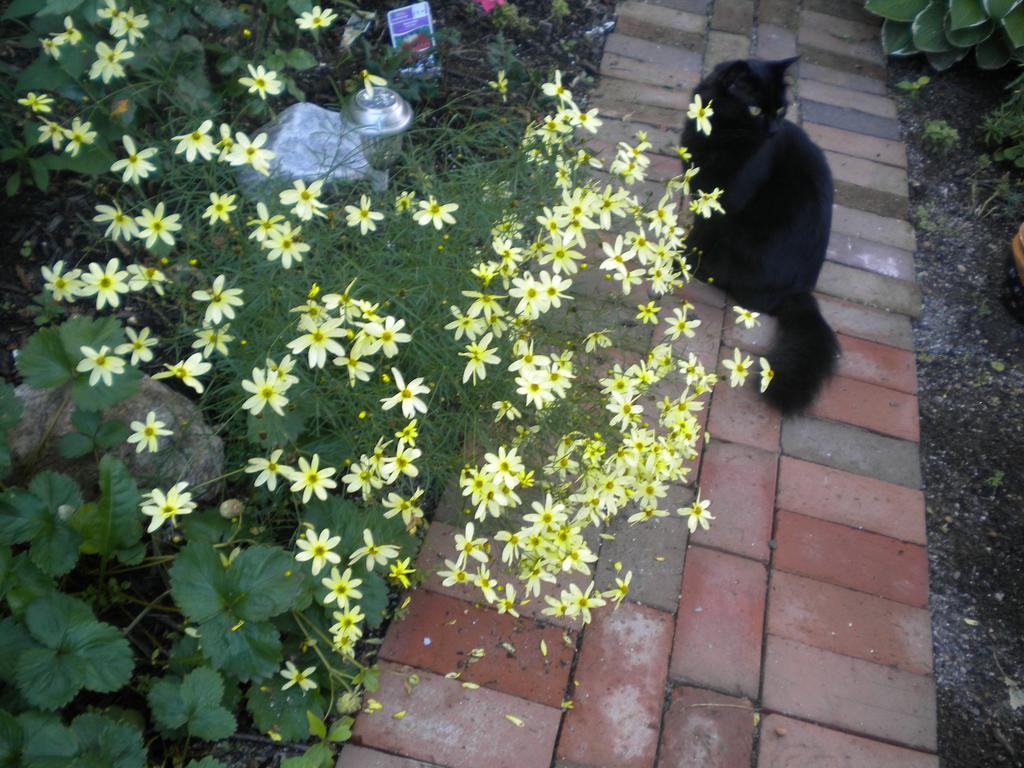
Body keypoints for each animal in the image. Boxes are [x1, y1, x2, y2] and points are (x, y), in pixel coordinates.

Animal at [679, 57, 839, 415]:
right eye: (754, 109)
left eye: (780, 109)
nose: (774, 130)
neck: (720, 139)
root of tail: (800, 292)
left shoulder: (723, 205)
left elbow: (699, 237)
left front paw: (677, 261)